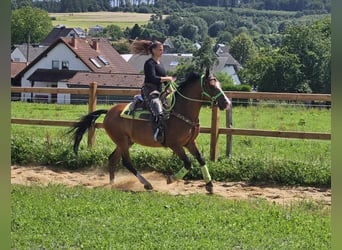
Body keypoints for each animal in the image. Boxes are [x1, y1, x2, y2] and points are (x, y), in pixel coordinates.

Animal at [69, 69, 230, 194]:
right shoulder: (174, 144)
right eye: (211, 85)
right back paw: (146, 184)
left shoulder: (190, 142)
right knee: (126, 162)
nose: (227, 103)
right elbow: (188, 163)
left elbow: (201, 159)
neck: (180, 111)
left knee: (112, 158)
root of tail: (108, 112)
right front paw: (171, 179)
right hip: (122, 141)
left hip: (126, 141)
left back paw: (112, 183)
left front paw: (209, 185)